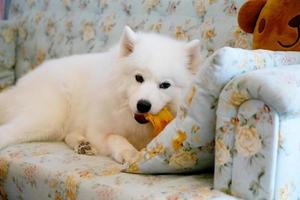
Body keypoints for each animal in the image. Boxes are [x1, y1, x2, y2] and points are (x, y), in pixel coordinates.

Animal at [0, 26, 200, 164]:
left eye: (165, 85)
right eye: (139, 78)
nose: (143, 105)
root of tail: (16, 87)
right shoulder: (99, 132)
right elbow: (115, 137)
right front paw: (129, 153)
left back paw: (82, 144)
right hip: (46, 120)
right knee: (9, 131)